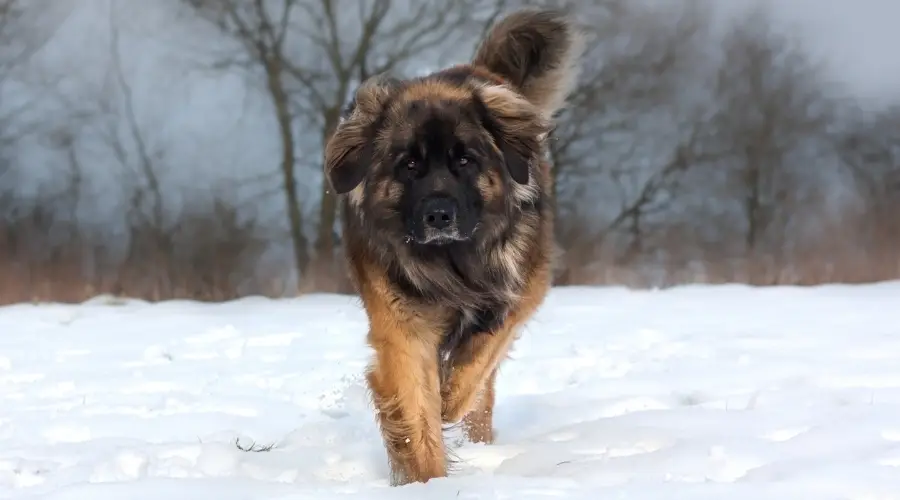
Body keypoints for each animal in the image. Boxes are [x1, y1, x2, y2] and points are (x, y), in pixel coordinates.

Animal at [322, 6, 584, 484]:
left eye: (465, 160)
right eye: (408, 165)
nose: (439, 215)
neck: (452, 262)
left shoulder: (520, 290)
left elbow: (478, 359)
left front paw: (450, 396)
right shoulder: (402, 329)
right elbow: (415, 419)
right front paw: (427, 482)